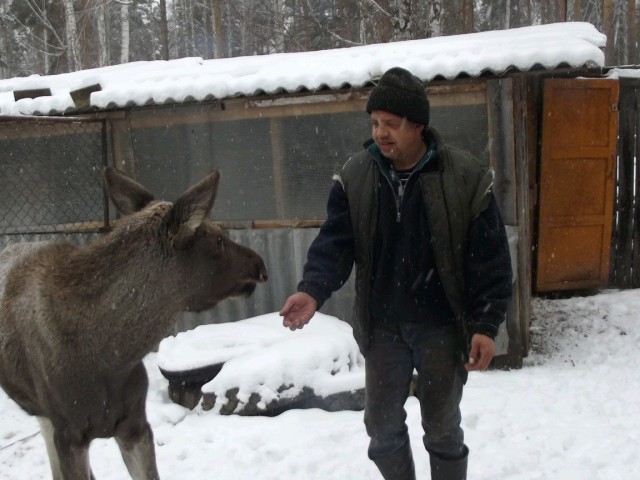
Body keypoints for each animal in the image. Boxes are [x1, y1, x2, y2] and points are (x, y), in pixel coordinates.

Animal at [0, 167, 268, 478]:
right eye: (218, 240)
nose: (260, 265)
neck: (110, 359)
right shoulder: (69, 434)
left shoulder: (135, 424)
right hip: (45, 415)